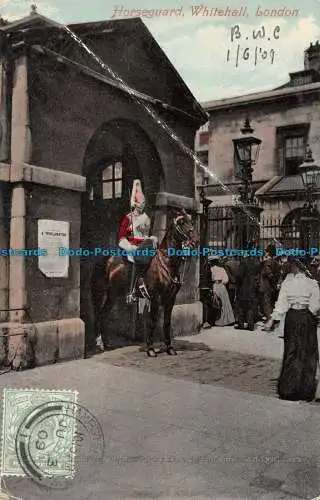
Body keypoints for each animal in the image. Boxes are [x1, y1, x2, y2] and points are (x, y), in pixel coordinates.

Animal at [89, 209, 196, 358]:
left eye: (191, 220)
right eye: (180, 222)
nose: (193, 241)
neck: (166, 263)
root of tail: (104, 260)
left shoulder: (170, 299)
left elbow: (167, 323)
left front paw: (170, 348)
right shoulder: (156, 298)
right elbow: (152, 321)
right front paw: (150, 349)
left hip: (113, 295)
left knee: (104, 314)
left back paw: (107, 343)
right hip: (100, 293)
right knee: (98, 314)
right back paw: (99, 343)